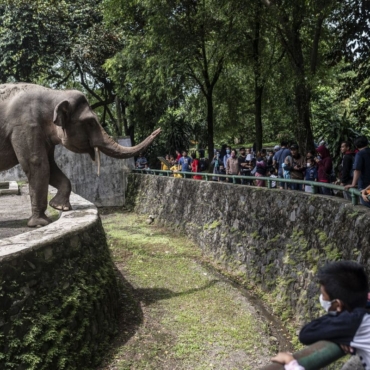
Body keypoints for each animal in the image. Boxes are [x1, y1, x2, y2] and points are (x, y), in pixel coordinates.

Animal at [0, 84, 162, 227]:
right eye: (90, 122)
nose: (158, 130)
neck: (55, 93)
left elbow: (51, 166)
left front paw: (60, 207)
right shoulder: (25, 127)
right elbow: (38, 164)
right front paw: (40, 224)